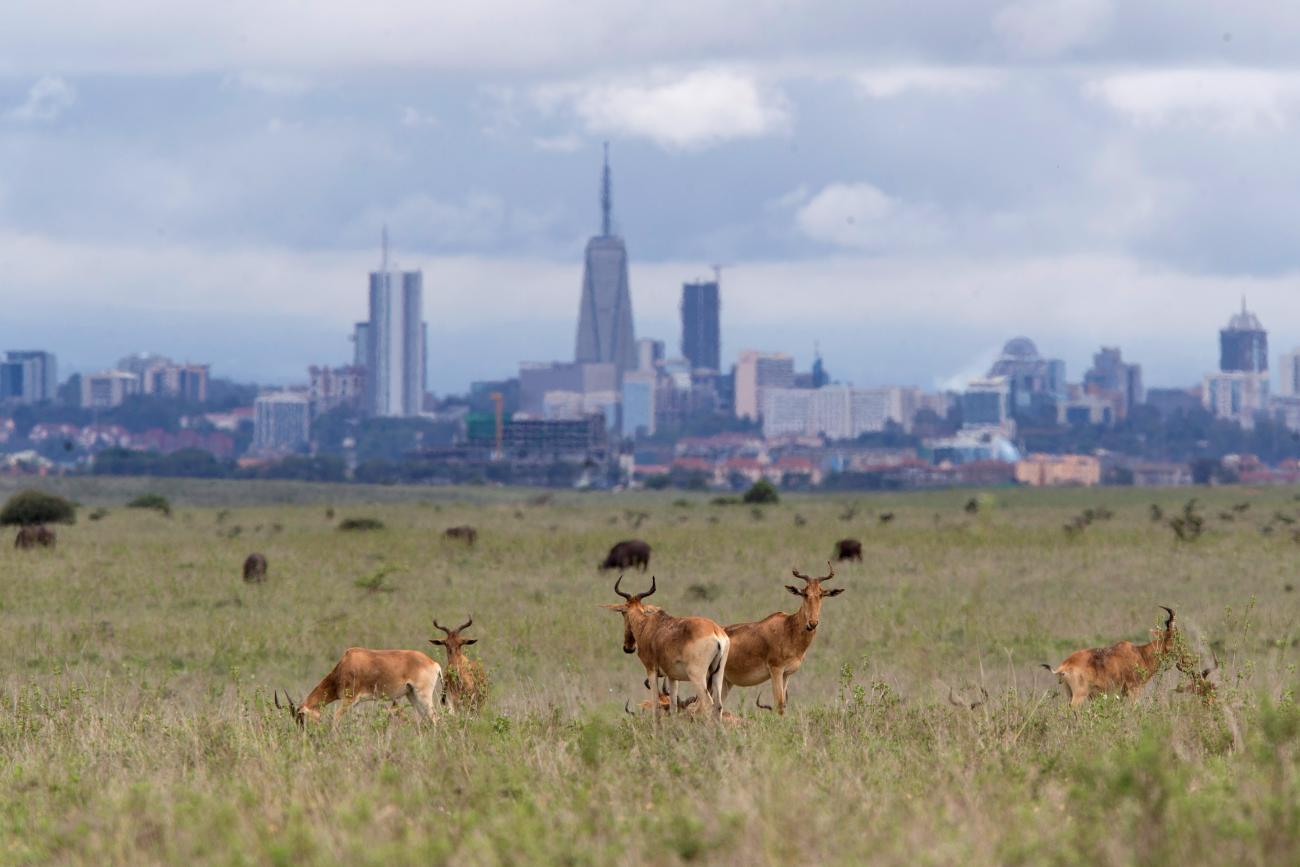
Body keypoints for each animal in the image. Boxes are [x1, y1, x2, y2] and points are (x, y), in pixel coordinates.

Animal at [273, 644, 441, 727]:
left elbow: (335, 720)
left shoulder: (349, 699)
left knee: (435, 718)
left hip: (423, 695)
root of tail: (433, 663)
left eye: (301, 717)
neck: (345, 663)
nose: (305, 734)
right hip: (411, 694)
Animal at [600, 577, 733, 717]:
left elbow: (656, 706)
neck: (648, 625)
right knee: (718, 705)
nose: (628, 647)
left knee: (708, 704)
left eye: (623, 613)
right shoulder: (672, 677)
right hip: (718, 673)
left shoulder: (651, 670)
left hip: (697, 675)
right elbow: (673, 707)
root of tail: (715, 630)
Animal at [717, 558, 847, 717]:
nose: (812, 623)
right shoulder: (776, 670)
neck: (788, 628)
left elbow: (783, 705)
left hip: (725, 681)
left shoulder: (786, 673)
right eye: (804, 593)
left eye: (821, 594)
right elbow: (778, 703)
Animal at [1045, 608, 1180, 707]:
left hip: (1069, 693)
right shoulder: (1133, 689)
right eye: (1173, 637)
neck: (1139, 653)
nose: (1182, 661)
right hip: (1079, 695)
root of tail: (1065, 665)